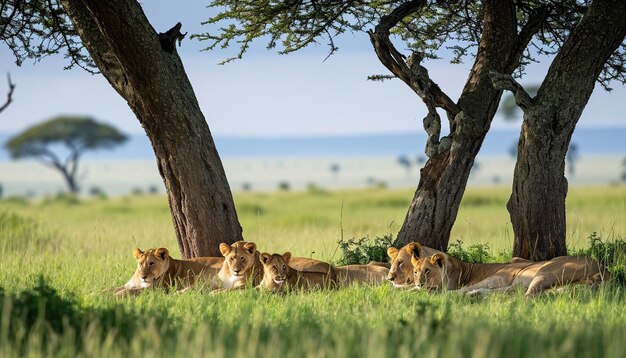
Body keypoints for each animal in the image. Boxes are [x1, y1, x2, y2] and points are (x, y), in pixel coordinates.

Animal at [410, 246, 604, 296]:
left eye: (427, 271)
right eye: (415, 272)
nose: (419, 283)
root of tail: (603, 268)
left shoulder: (498, 276)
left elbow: (463, 288)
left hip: (546, 270)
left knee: (529, 296)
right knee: (517, 292)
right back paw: (477, 296)